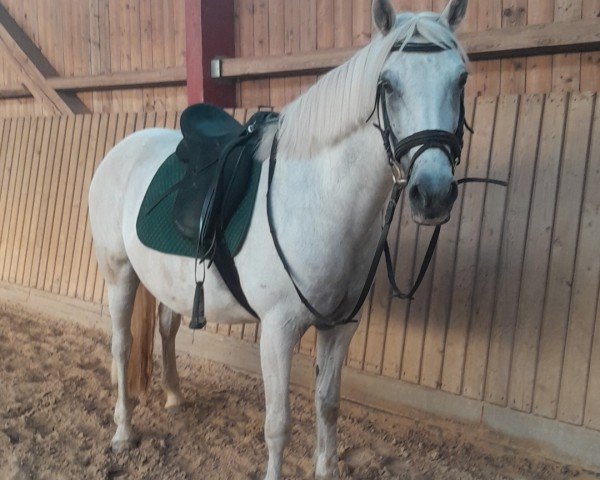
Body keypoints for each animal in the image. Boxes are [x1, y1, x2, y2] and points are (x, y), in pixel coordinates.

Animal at [89, 1, 472, 478]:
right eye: (387, 84)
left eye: (461, 79)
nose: (433, 194)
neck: (318, 200)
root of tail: (122, 149)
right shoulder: (277, 331)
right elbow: (278, 424)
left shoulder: (339, 328)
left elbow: (328, 406)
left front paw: (327, 469)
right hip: (119, 273)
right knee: (121, 346)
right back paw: (123, 431)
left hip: (165, 281)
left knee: (166, 328)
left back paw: (175, 397)